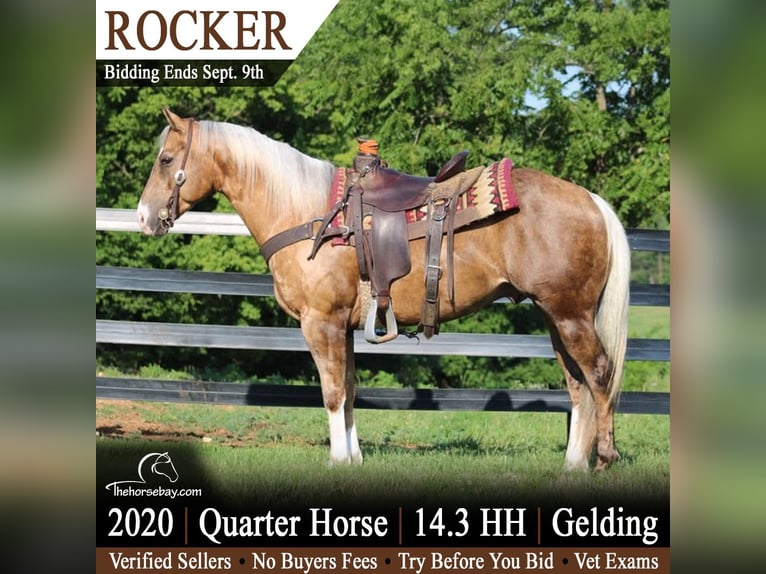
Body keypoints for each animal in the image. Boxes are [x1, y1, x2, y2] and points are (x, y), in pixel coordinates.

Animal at [137, 107, 631, 471]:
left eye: (166, 160)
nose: (143, 217)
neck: (312, 215)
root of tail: (591, 200)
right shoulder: (345, 327)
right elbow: (350, 388)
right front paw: (354, 459)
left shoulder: (322, 323)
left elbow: (332, 392)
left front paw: (336, 461)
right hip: (555, 317)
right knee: (578, 385)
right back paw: (571, 466)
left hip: (569, 316)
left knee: (599, 373)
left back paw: (603, 458)